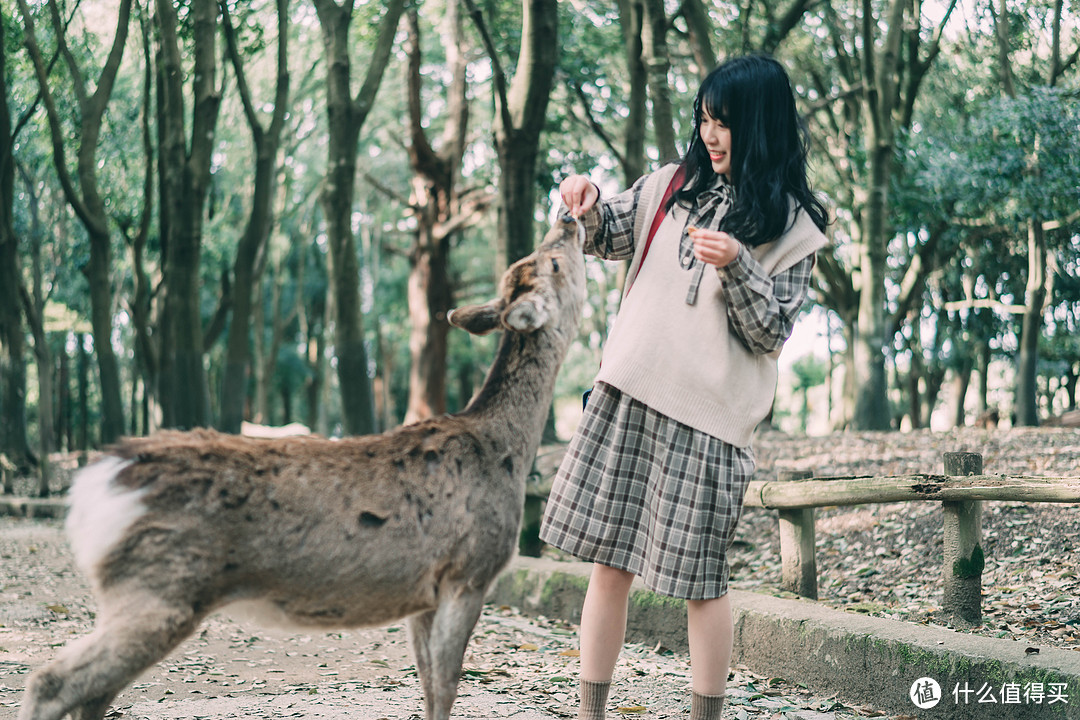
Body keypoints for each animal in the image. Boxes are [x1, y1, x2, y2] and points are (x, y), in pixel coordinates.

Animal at [16, 212, 587, 720]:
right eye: (554, 262)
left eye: (538, 257)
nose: (569, 215)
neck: (505, 449)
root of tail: (90, 486)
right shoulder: (470, 570)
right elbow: (448, 686)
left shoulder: (424, 590)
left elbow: (427, 687)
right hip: (157, 587)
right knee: (51, 681)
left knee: (92, 694)